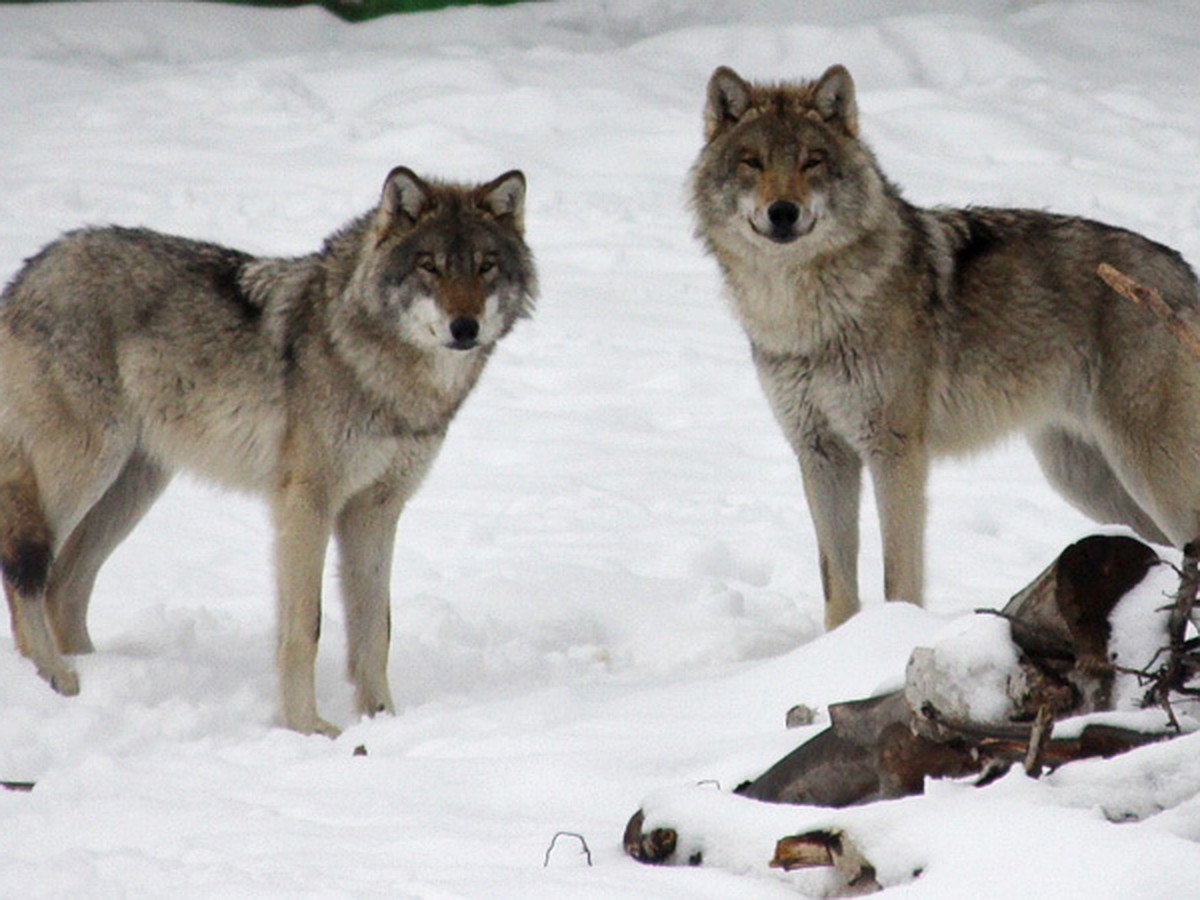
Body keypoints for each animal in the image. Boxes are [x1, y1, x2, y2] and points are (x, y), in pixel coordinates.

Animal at [0, 165, 535, 734]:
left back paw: (96, 672)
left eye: (486, 266)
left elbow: (375, 630)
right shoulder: (306, 506)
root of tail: (27, 275)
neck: (383, 375)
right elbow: (307, 627)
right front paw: (308, 727)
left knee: (63, 583)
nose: (465, 327)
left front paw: (384, 721)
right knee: (23, 565)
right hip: (85, 469)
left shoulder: (376, 509)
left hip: (132, 489)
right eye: (429, 266)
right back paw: (56, 676)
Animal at [691, 63, 1200, 628]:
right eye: (752, 162)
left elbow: (898, 574)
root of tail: (1182, 271)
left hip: (1147, 472)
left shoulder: (894, 450)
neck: (804, 316)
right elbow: (837, 586)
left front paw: (891, 634)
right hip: (1087, 481)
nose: (783, 212)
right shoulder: (820, 452)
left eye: (812, 161)